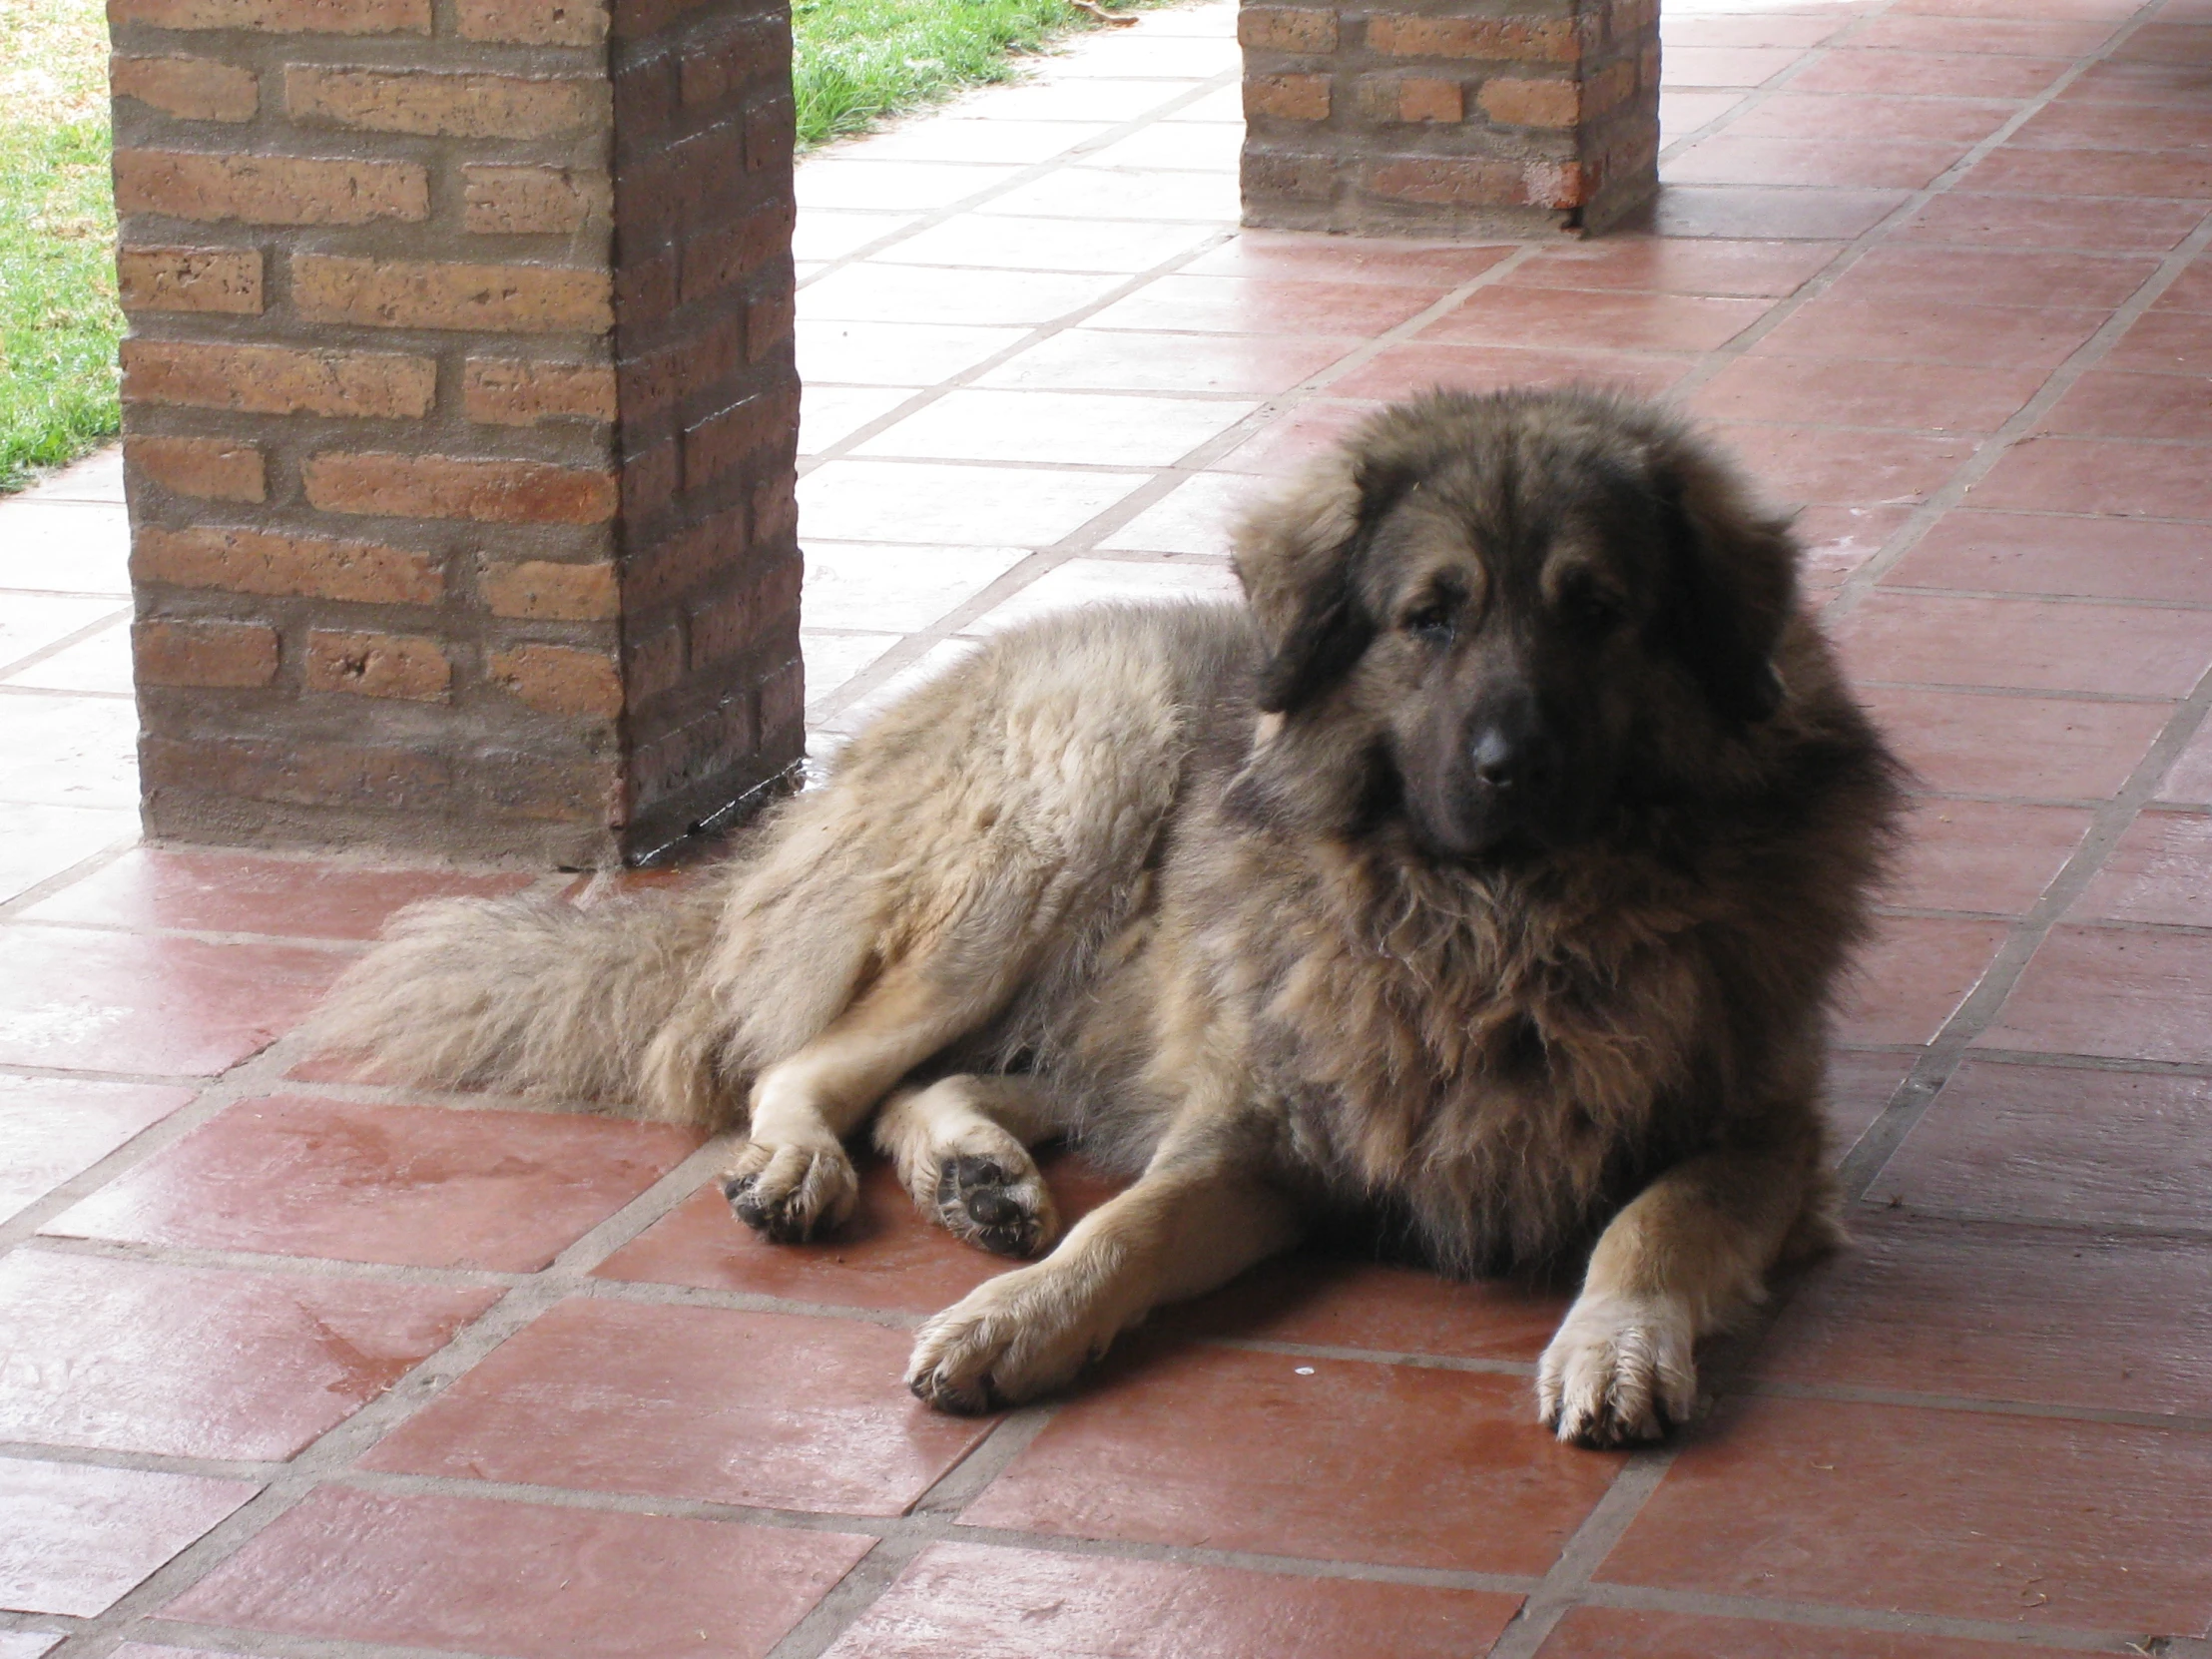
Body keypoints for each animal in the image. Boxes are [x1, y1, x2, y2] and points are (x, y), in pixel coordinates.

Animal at [320, 386, 1911, 1441]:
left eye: (1597, 611)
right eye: (1430, 617)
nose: (1507, 766)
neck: (1498, 925)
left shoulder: (1764, 1135)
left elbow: (1650, 1218)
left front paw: (1617, 1343)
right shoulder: (1262, 1131)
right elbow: (1127, 1231)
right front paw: (1019, 1322)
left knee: (938, 1082)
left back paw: (972, 1169)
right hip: (1070, 807)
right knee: (810, 1066)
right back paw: (824, 1169)